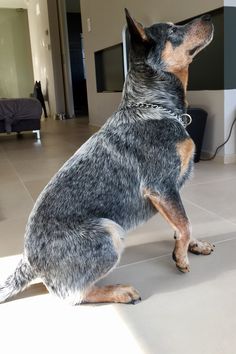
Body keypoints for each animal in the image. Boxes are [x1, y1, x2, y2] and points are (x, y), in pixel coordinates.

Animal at [0, 9, 214, 304]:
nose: (209, 17)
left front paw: (194, 245)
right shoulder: (161, 187)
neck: (154, 106)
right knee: (75, 294)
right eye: (173, 30)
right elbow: (186, 224)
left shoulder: (172, 192)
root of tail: (27, 263)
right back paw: (119, 291)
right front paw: (181, 257)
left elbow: (183, 221)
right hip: (108, 231)